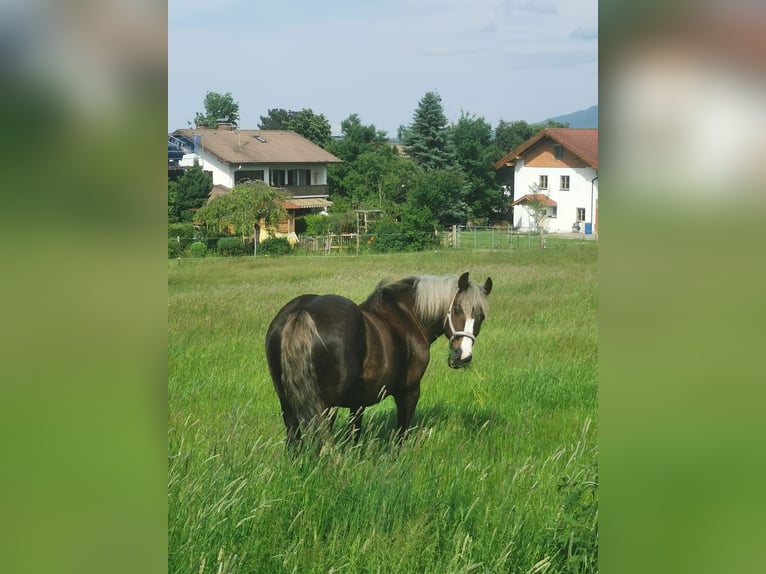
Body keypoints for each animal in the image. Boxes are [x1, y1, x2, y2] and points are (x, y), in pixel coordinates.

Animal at [265, 272, 492, 446]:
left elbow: (354, 435)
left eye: (481, 317)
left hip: (288, 403)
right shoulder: (409, 391)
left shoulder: (357, 402)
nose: (462, 356)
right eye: (457, 310)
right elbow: (402, 432)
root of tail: (302, 311)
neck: (408, 316)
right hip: (325, 407)